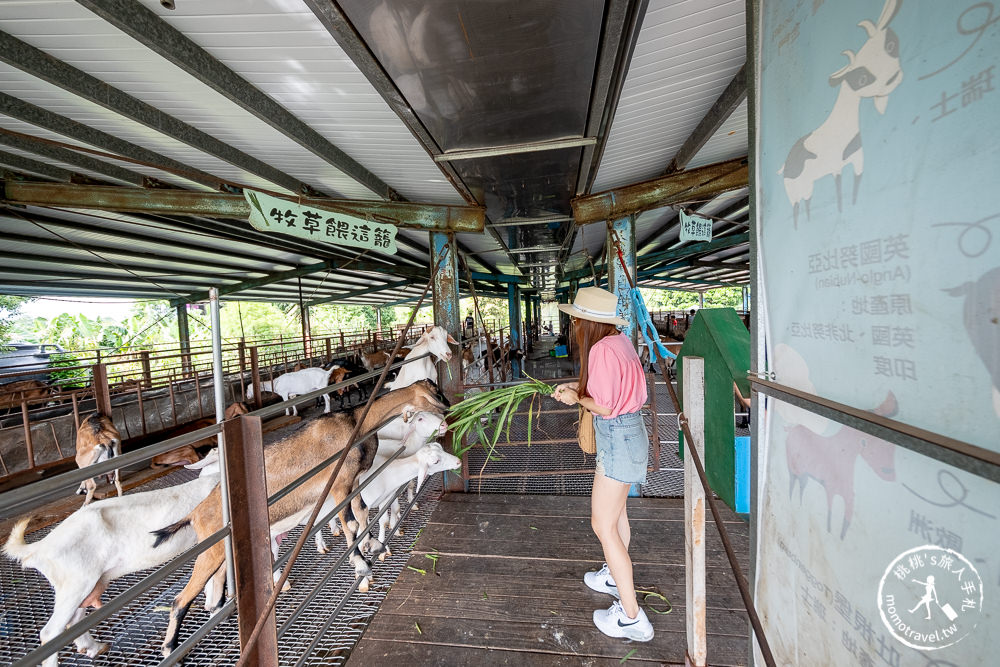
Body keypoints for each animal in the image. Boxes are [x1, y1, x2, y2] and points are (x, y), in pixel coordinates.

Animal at [1, 452, 221, 664]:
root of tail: (39, 548)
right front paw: (212, 602)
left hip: (83, 585)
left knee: (73, 621)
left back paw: (93, 648)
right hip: (75, 583)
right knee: (50, 633)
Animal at [149, 380, 446, 656]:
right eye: (434, 396)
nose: (446, 415)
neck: (357, 422)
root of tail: (195, 514)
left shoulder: (352, 483)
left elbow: (361, 512)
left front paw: (371, 545)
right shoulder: (338, 483)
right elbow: (350, 521)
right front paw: (361, 564)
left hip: (221, 551)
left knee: (213, 589)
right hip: (210, 548)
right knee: (181, 599)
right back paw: (169, 647)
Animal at [776, 0, 904, 227]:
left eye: (890, 45)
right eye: (862, 79)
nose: (893, 78)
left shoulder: (858, 159)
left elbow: (854, 185)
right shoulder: (836, 166)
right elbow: (839, 191)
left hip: (807, 186)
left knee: (806, 203)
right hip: (795, 190)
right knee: (797, 207)